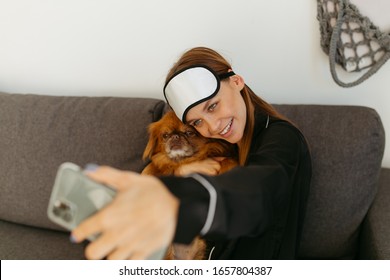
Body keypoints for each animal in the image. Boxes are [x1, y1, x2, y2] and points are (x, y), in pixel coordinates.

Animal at [141, 110, 238, 260]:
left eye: (189, 133)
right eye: (165, 135)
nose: (175, 136)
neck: (183, 161)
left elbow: (228, 161)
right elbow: (151, 170)